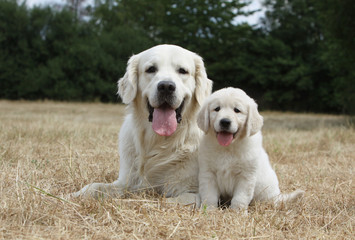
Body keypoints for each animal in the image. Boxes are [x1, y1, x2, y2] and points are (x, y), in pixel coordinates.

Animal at [72, 44, 211, 203]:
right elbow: (95, 186)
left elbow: (165, 201)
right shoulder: (126, 181)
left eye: (183, 71)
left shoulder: (194, 194)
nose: (166, 86)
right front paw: (74, 195)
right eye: (151, 69)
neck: (159, 141)